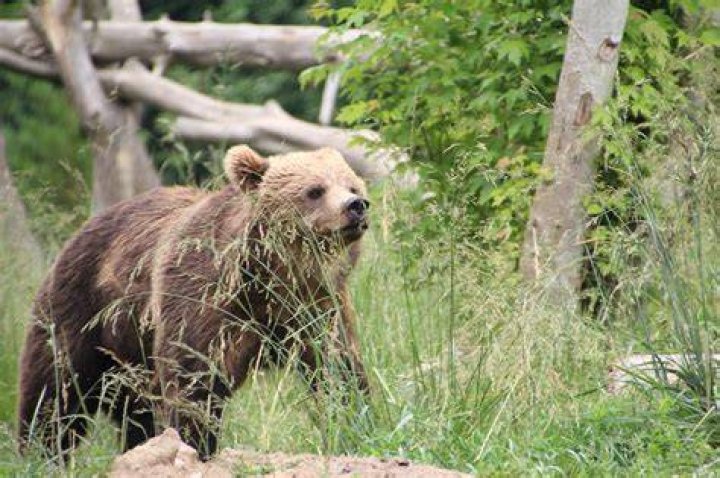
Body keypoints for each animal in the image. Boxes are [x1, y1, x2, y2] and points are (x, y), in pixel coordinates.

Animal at [17, 145, 370, 460]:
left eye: (352, 185)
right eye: (315, 190)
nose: (356, 205)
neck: (270, 276)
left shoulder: (314, 306)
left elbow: (338, 367)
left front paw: (353, 423)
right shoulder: (203, 295)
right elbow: (194, 380)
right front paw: (195, 446)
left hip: (130, 355)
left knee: (135, 410)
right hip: (83, 309)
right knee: (55, 389)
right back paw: (40, 452)